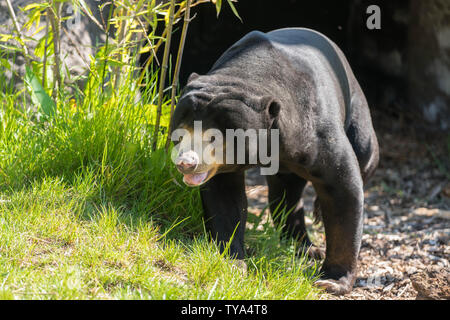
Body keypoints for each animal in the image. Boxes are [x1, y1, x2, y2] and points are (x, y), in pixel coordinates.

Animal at [171, 28, 378, 296]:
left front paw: (331, 281)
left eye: (213, 138)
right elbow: (225, 200)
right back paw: (303, 246)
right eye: (181, 132)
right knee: (286, 195)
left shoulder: (317, 129)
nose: (186, 163)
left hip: (356, 109)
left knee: (366, 152)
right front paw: (233, 263)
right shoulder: (222, 169)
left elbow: (343, 188)